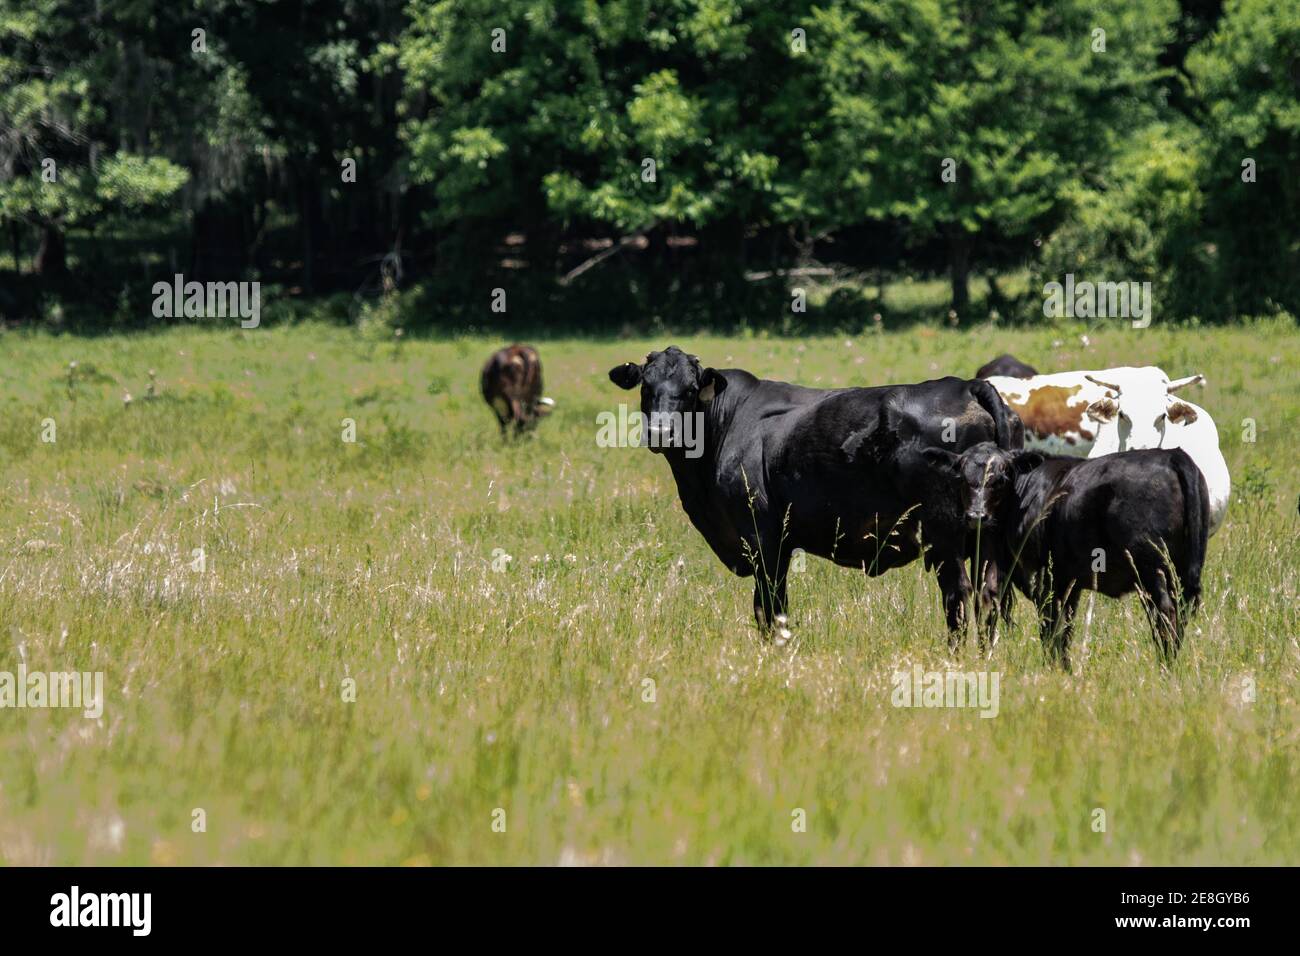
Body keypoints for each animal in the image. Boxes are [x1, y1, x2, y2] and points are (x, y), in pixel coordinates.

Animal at [603, 348, 1019, 639]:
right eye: (646, 387)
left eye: (690, 390)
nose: (661, 431)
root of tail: (965, 384)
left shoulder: (764, 540)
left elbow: (769, 609)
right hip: (984, 538)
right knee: (988, 597)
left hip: (944, 536)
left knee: (958, 596)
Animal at [925, 444, 1206, 671]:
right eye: (962, 478)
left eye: (1001, 479)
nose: (977, 516)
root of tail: (1171, 455)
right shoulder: (1069, 581)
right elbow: (1066, 628)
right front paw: (1065, 669)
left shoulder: (1043, 578)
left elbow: (1050, 629)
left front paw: (1053, 669)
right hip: (1179, 572)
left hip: (1151, 567)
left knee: (1165, 614)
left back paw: (1164, 666)